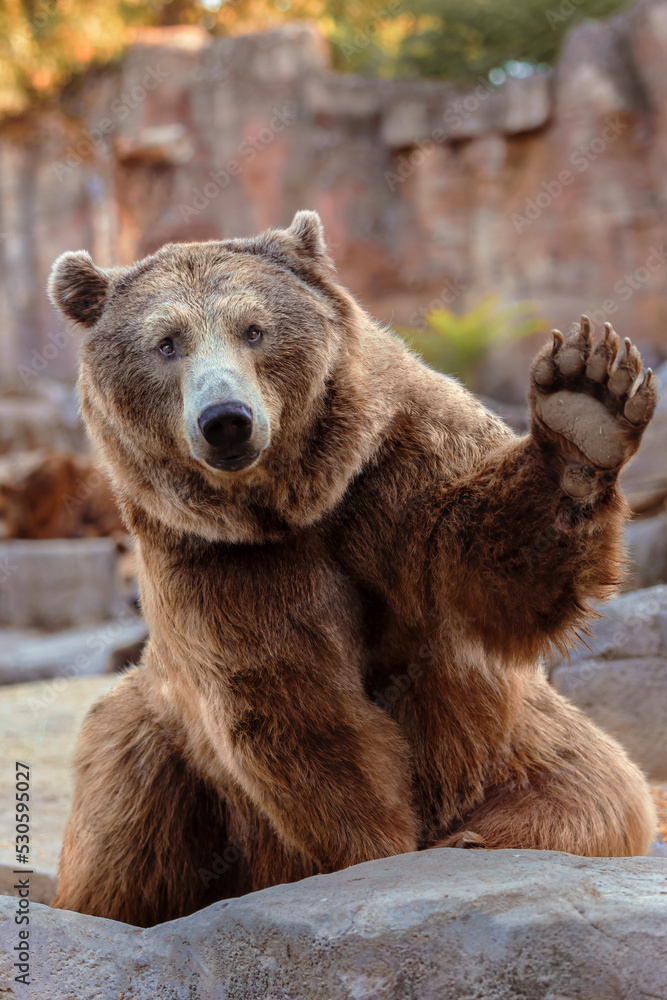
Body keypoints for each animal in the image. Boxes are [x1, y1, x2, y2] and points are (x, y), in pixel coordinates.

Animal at [45, 213, 656, 928]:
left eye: (254, 329)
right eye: (167, 342)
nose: (226, 420)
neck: (295, 502)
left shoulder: (396, 464)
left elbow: (485, 571)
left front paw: (584, 405)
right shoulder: (219, 563)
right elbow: (299, 701)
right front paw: (380, 850)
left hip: (528, 747)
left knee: (592, 798)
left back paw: (475, 835)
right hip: (158, 749)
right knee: (122, 832)